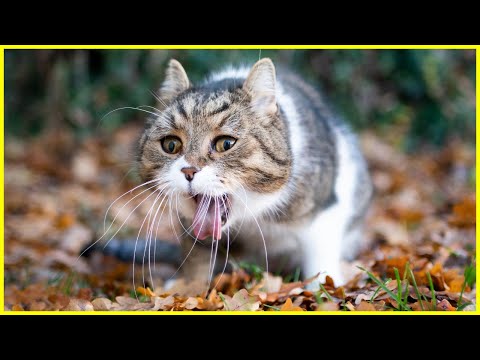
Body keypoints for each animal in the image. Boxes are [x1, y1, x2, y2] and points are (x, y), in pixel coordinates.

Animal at [117, 57, 372, 286]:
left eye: (226, 144)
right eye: (171, 145)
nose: (189, 170)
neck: (252, 216)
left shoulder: (325, 208)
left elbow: (320, 257)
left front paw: (325, 289)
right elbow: (197, 257)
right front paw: (189, 288)